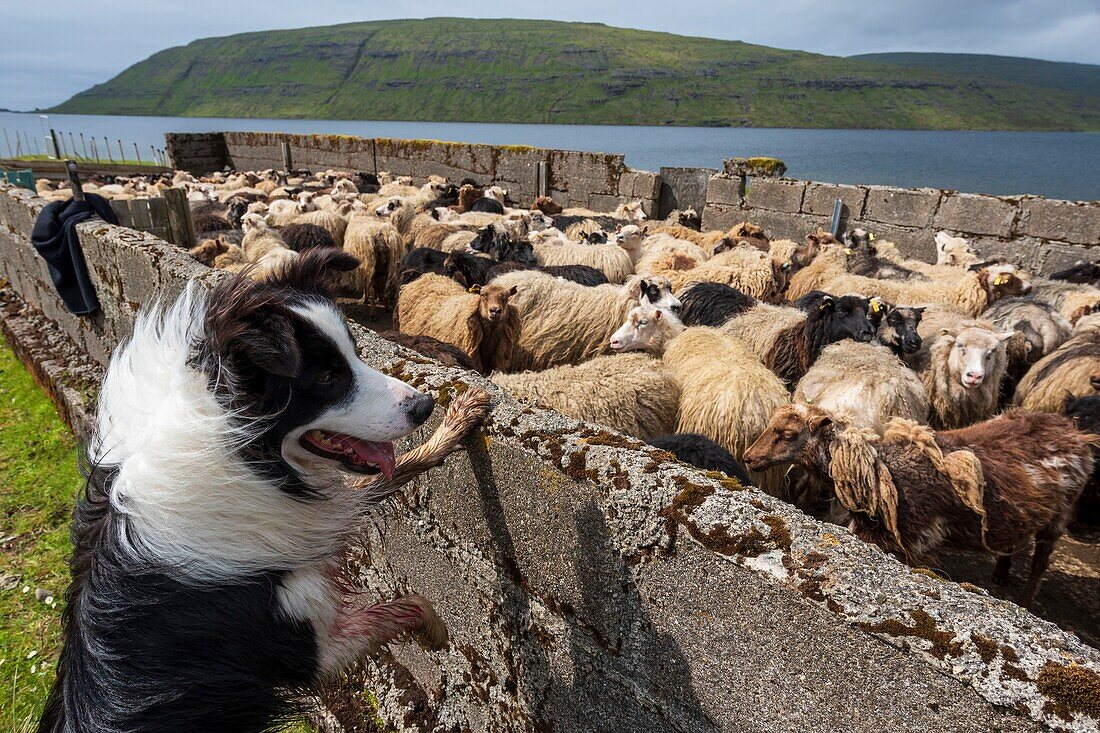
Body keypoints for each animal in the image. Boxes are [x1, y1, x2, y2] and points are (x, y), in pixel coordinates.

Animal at [40, 248, 486, 726]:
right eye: (326, 377)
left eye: (355, 354)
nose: (425, 405)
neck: (234, 448)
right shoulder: (312, 642)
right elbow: (411, 603)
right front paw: (437, 632)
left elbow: (387, 474)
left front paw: (456, 422)